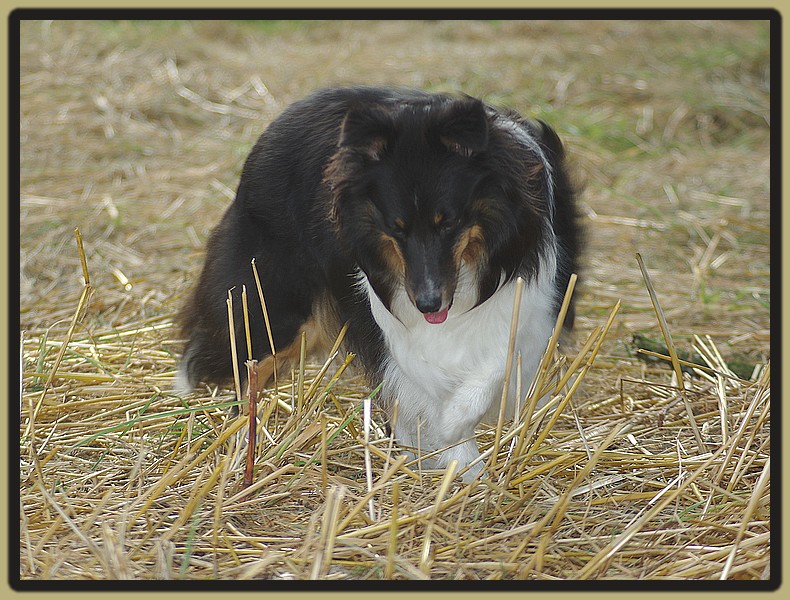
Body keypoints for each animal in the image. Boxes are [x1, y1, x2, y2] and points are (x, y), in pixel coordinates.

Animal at [177, 86, 580, 481]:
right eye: (396, 227)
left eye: (448, 222)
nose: (429, 304)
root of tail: (282, 119)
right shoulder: (390, 317)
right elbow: (423, 378)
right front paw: (453, 449)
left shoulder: (533, 304)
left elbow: (499, 360)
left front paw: (454, 437)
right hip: (275, 307)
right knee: (246, 367)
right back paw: (238, 445)